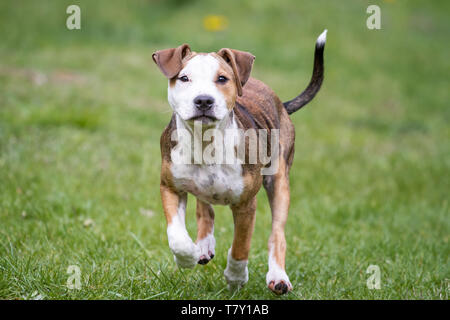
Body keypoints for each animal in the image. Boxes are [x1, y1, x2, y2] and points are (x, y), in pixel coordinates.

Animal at [152, 30, 326, 296]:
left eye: (222, 78)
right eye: (184, 78)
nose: (204, 100)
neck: (206, 143)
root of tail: (280, 102)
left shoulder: (246, 204)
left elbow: (240, 246)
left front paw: (235, 277)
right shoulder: (170, 186)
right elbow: (177, 236)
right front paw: (187, 256)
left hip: (279, 180)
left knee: (277, 233)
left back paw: (278, 277)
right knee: (205, 208)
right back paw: (203, 246)